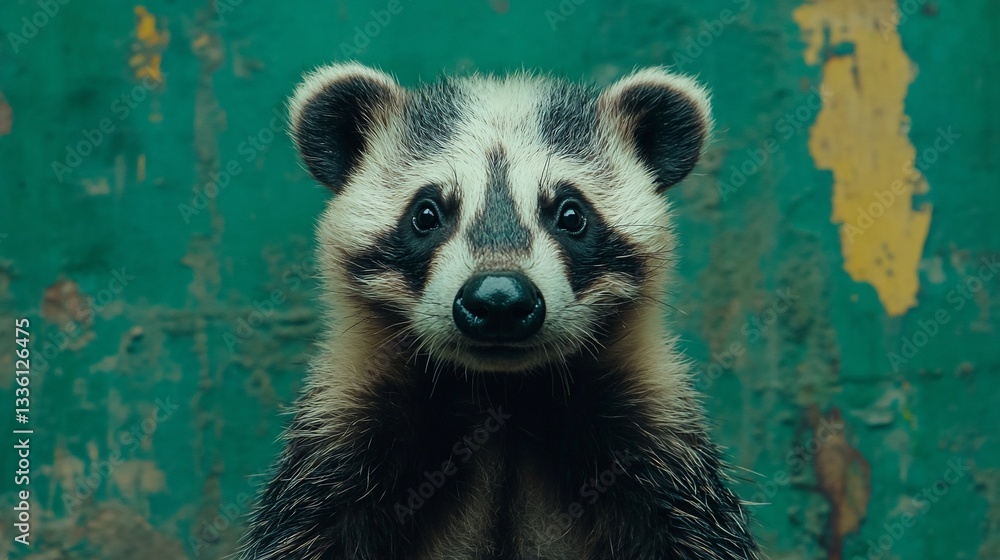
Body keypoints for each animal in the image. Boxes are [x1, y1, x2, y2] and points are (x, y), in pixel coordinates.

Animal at [239, 63, 759, 560]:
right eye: (426, 214)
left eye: (571, 214)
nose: (499, 300)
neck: (501, 391)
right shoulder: (338, 444)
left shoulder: (659, 444)